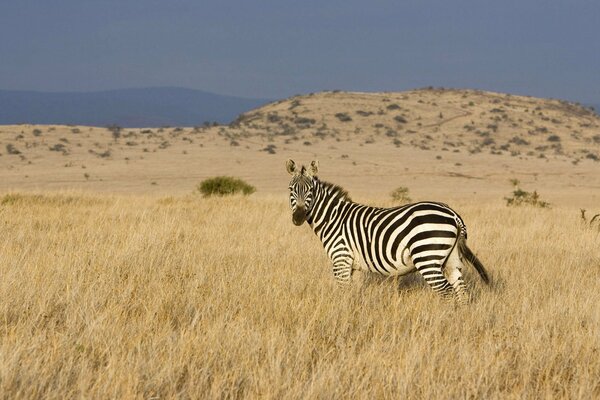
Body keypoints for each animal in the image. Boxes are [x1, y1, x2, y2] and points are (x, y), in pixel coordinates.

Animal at [288, 158, 492, 302]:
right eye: (291, 189)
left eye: (310, 191)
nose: (298, 217)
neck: (333, 218)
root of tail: (453, 214)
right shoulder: (351, 265)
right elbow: (351, 293)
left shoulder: (340, 259)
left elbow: (343, 292)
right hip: (451, 258)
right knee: (461, 291)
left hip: (427, 256)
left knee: (447, 292)